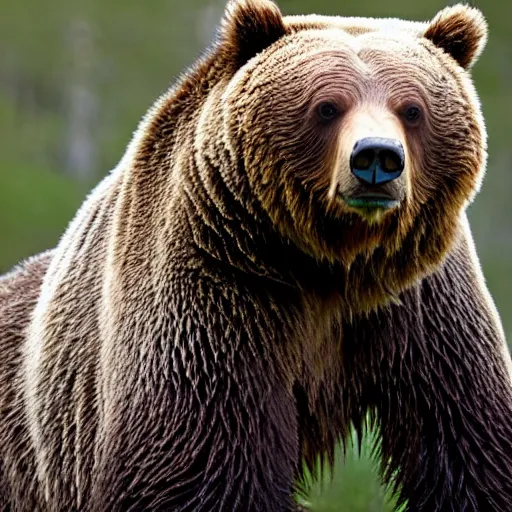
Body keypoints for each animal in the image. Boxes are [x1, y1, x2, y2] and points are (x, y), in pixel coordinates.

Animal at [1, 0, 512, 510]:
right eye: (327, 106)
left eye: (412, 109)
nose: (376, 158)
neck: (336, 264)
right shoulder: (217, 290)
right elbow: (201, 463)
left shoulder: (426, 305)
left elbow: (470, 437)